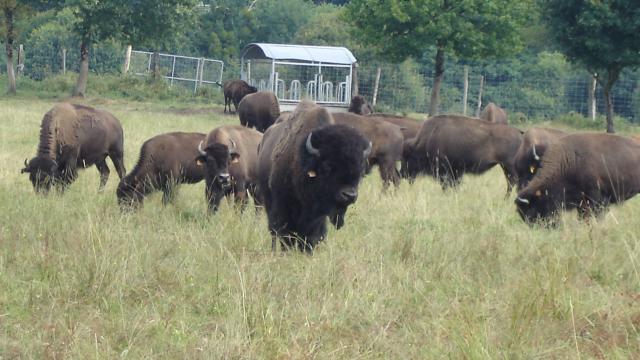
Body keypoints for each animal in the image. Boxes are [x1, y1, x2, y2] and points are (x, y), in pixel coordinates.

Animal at [256, 100, 370, 253]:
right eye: (327, 167)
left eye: (360, 171)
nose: (349, 195)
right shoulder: (283, 206)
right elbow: (285, 232)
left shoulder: (317, 217)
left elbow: (312, 235)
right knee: (273, 231)